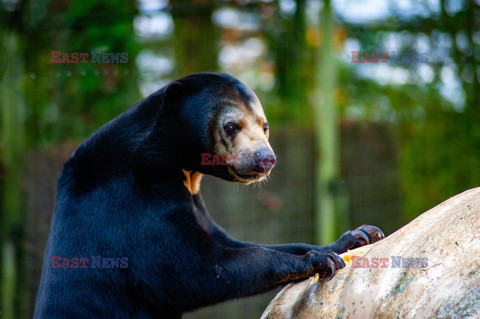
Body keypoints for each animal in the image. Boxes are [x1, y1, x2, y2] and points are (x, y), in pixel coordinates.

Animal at [33, 73, 384, 319]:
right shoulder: (136, 199)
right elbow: (191, 270)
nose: (266, 159)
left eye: (265, 126)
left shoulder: (189, 199)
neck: (176, 161)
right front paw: (316, 261)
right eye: (231, 127)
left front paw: (356, 237)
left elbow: (232, 244)